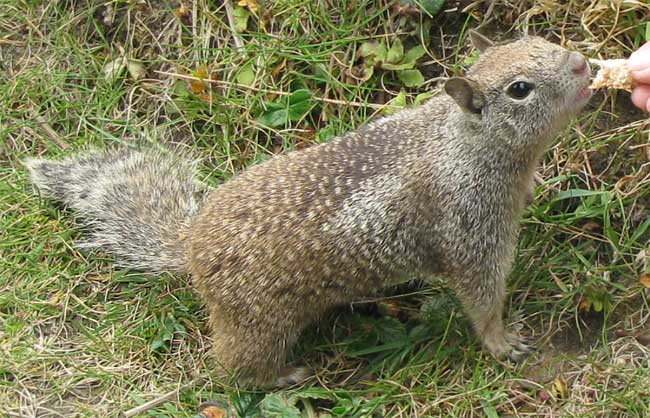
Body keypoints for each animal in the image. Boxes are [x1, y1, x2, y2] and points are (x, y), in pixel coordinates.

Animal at [26, 31, 592, 388]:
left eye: (538, 41)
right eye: (520, 89)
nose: (583, 63)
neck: (464, 143)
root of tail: (190, 247)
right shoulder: (472, 231)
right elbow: (482, 298)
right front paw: (503, 343)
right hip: (258, 322)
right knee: (234, 366)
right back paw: (282, 375)